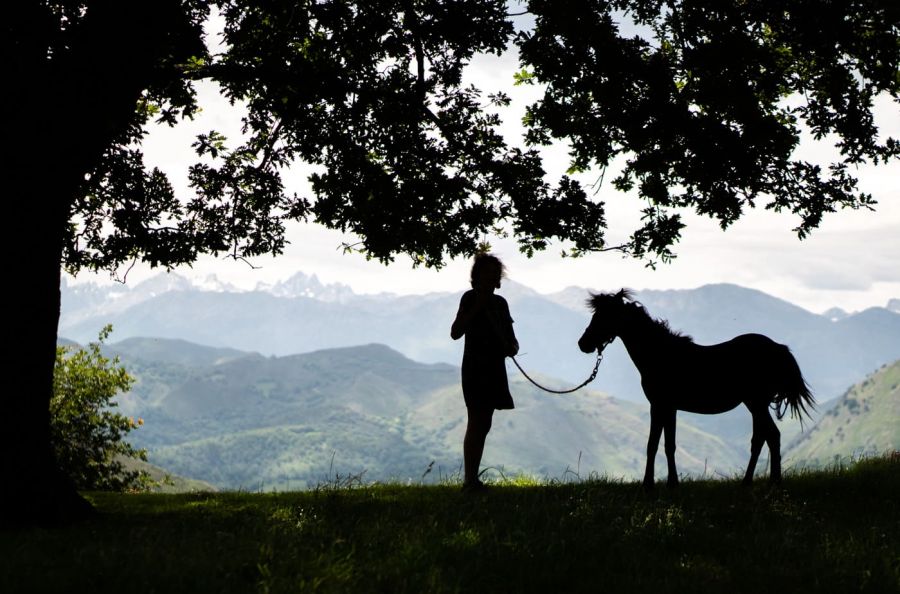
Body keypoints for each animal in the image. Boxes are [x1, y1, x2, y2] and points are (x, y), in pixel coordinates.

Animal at [577, 289, 814, 489]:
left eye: (604, 316)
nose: (583, 344)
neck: (660, 354)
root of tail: (778, 348)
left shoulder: (659, 406)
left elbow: (653, 444)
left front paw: (649, 485)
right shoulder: (669, 408)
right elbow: (668, 445)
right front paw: (672, 483)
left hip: (756, 403)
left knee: (772, 436)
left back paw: (773, 482)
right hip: (756, 404)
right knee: (760, 439)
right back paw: (748, 482)